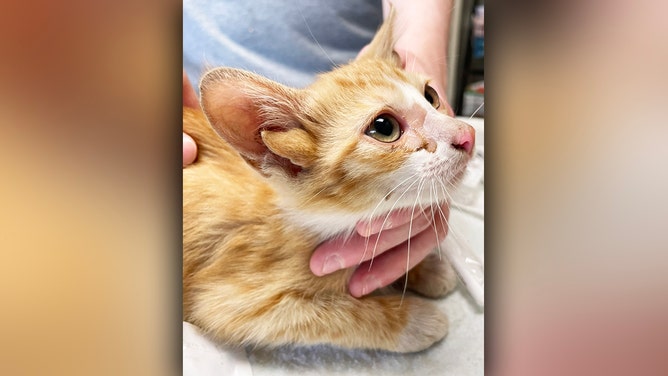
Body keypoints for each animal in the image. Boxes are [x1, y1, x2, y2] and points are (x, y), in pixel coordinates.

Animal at [183, 10, 474, 354]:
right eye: (384, 127)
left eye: (431, 95)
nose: (468, 135)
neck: (328, 220)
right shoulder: (237, 303)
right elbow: (340, 317)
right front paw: (416, 320)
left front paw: (423, 267)